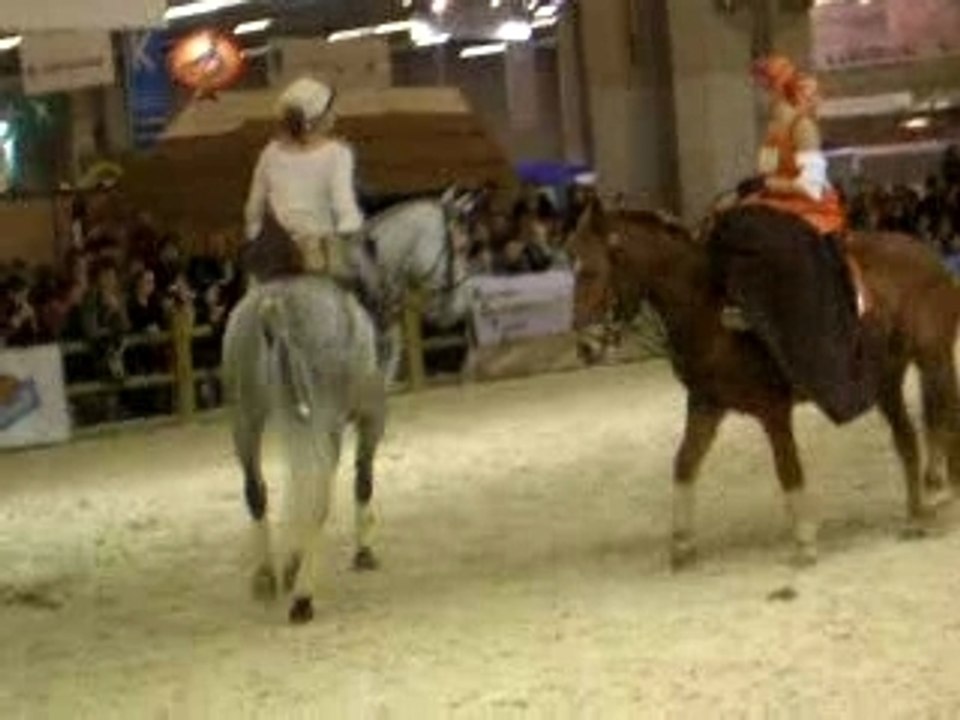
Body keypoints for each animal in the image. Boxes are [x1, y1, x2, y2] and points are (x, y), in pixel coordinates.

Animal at [222, 194, 473, 624]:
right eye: (460, 241)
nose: (457, 307)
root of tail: (274, 305)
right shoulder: (372, 414)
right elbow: (362, 479)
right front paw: (362, 552)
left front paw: (292, 561)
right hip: (318, 419)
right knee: (317, 498)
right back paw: (303, 597)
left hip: (247, 418)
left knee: (257, 492)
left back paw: (268, 576)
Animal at [568, 195, 960, 568]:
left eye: (590, 270)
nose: (586, 346)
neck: (715, 316)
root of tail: (930, 257)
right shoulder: (706, 405)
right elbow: (684, 464)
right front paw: (681, 545)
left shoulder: (773, 410)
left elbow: (787, 469)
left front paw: (805, 543)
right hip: (886, 379)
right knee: (907, 439)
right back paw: (915, 516)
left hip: (933, 360)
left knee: (944, 423)